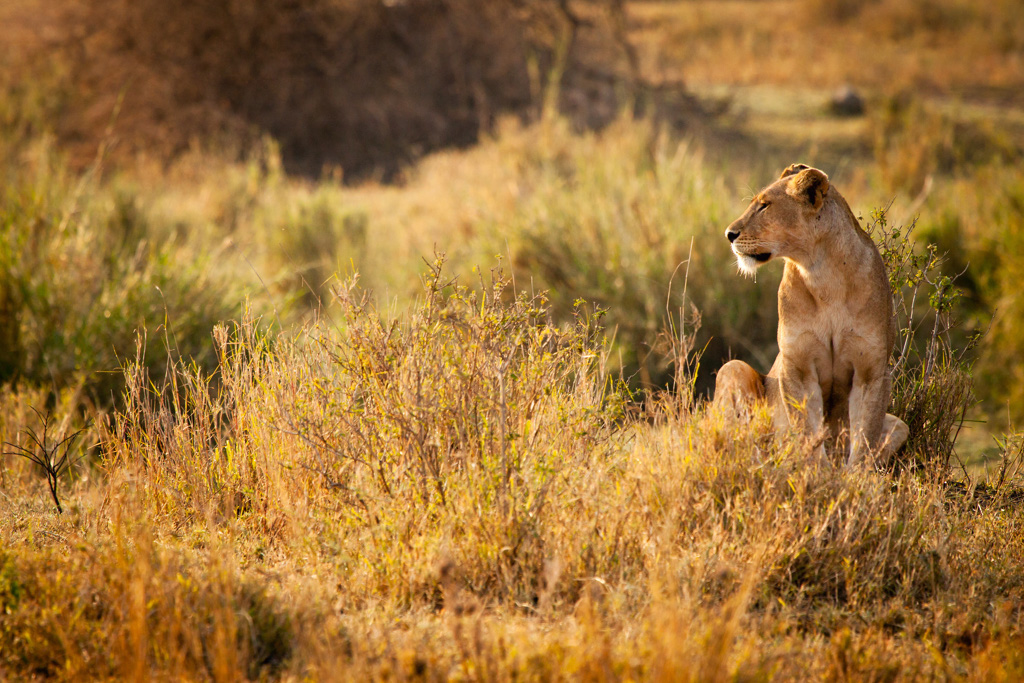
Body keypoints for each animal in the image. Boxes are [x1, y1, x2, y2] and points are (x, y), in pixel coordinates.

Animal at [711, 163, 909, 466]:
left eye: (764, 206)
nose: (728, 234)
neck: (825, 277)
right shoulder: (798, 366)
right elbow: (807, 430)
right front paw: (816, 472)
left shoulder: (871, 371)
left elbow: (864, 437)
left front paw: (855, 477)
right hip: (733, 368)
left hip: (900, 424)